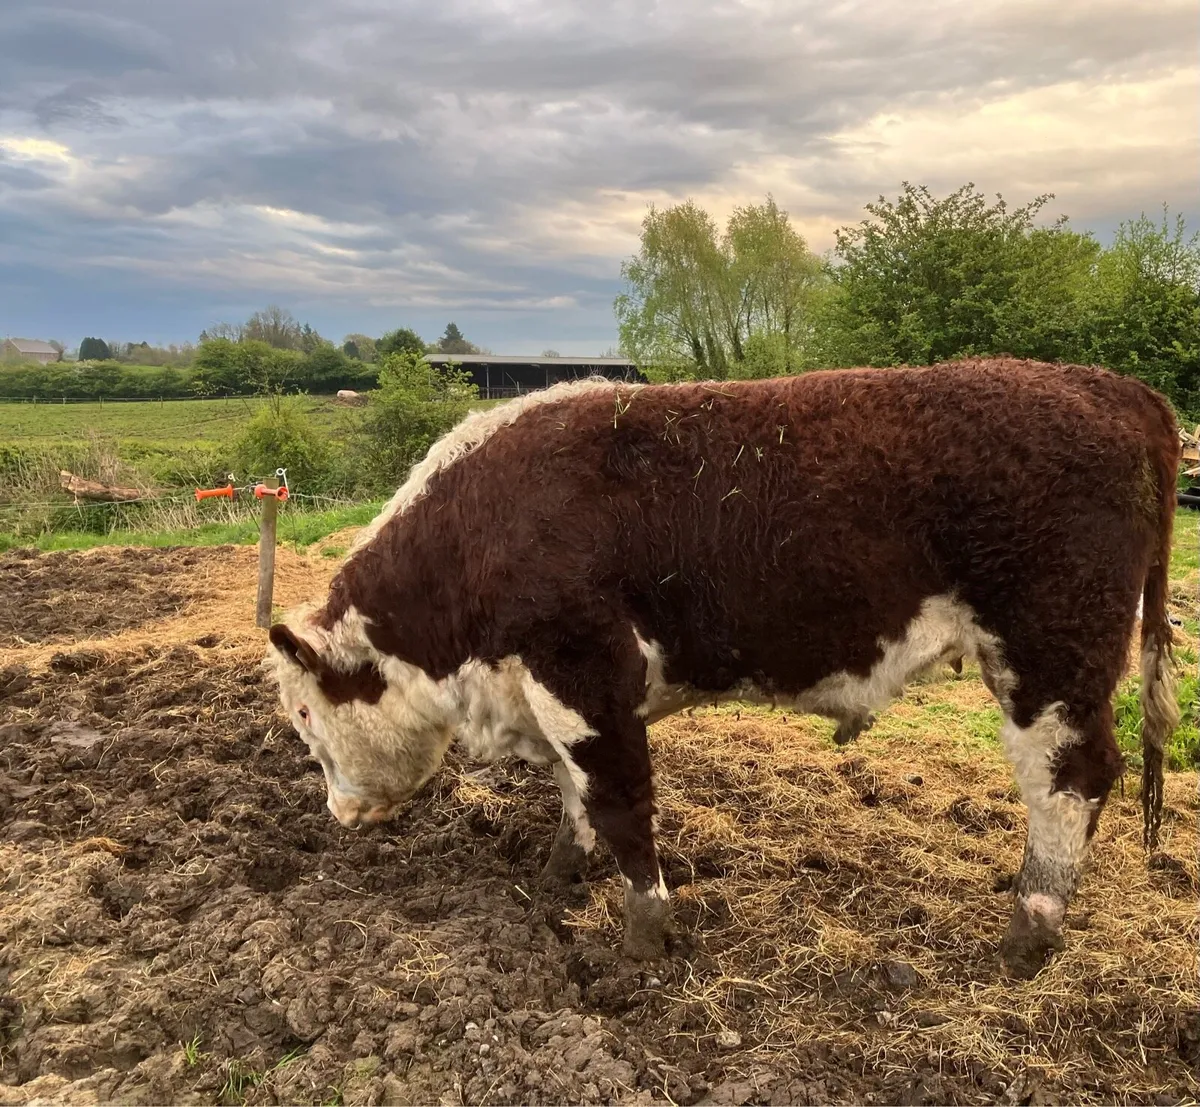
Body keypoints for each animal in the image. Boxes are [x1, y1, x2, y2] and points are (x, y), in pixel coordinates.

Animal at [267, 358, 1180, 978]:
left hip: (1052, 652)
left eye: (304, 714)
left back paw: (1029, 929)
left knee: (1070, 779)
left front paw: (642, 934)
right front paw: (560, 871)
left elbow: (620, 802)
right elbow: (573, 793)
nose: (338, 813)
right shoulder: (549, 689)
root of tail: (1110, 387)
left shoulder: (585, 673)